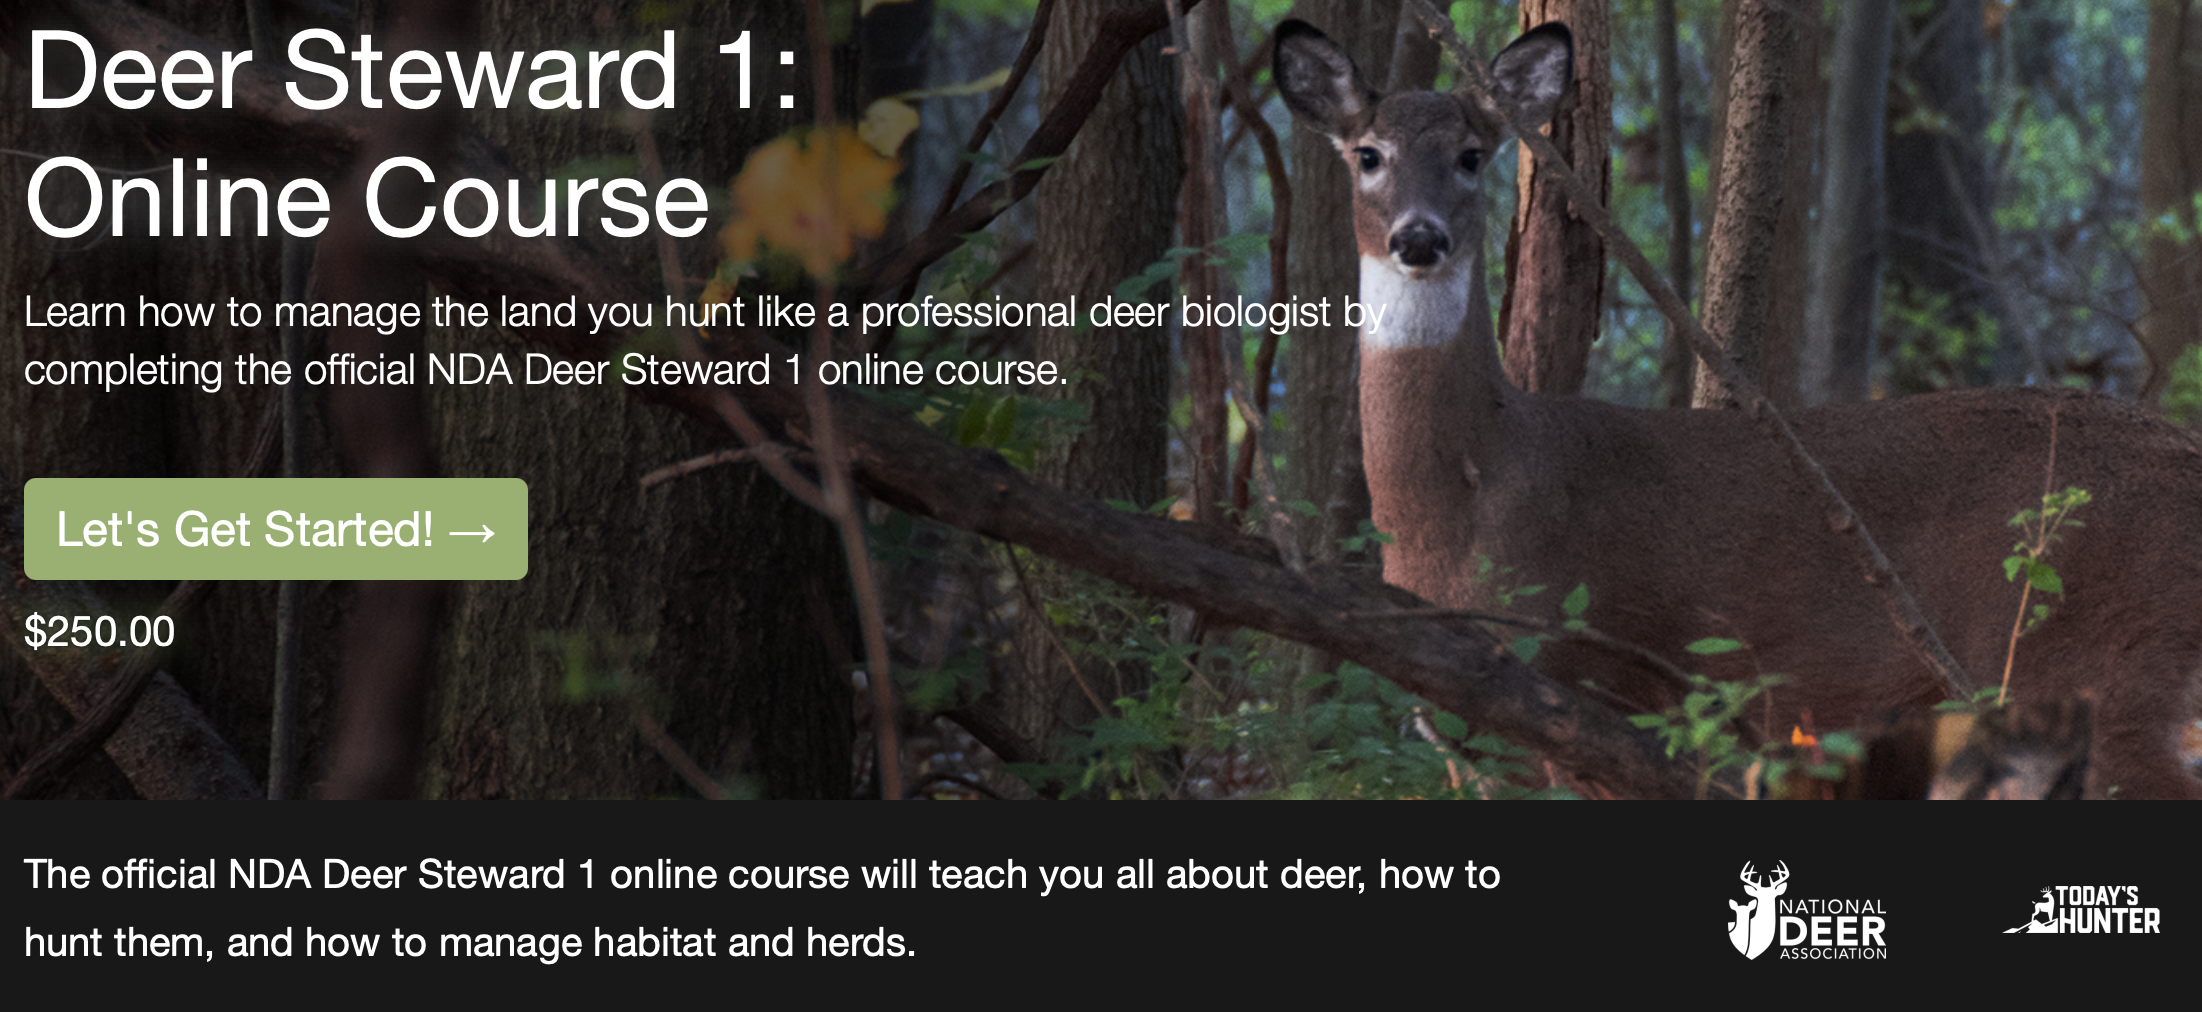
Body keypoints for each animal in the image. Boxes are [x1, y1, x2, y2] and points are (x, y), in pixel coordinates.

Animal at [1273, 19, 2202, 799]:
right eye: (1367, 154)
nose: (1419, 238)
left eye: (1471, 155)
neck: (1478, 490)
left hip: (2098, 651)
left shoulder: (1593, 683)